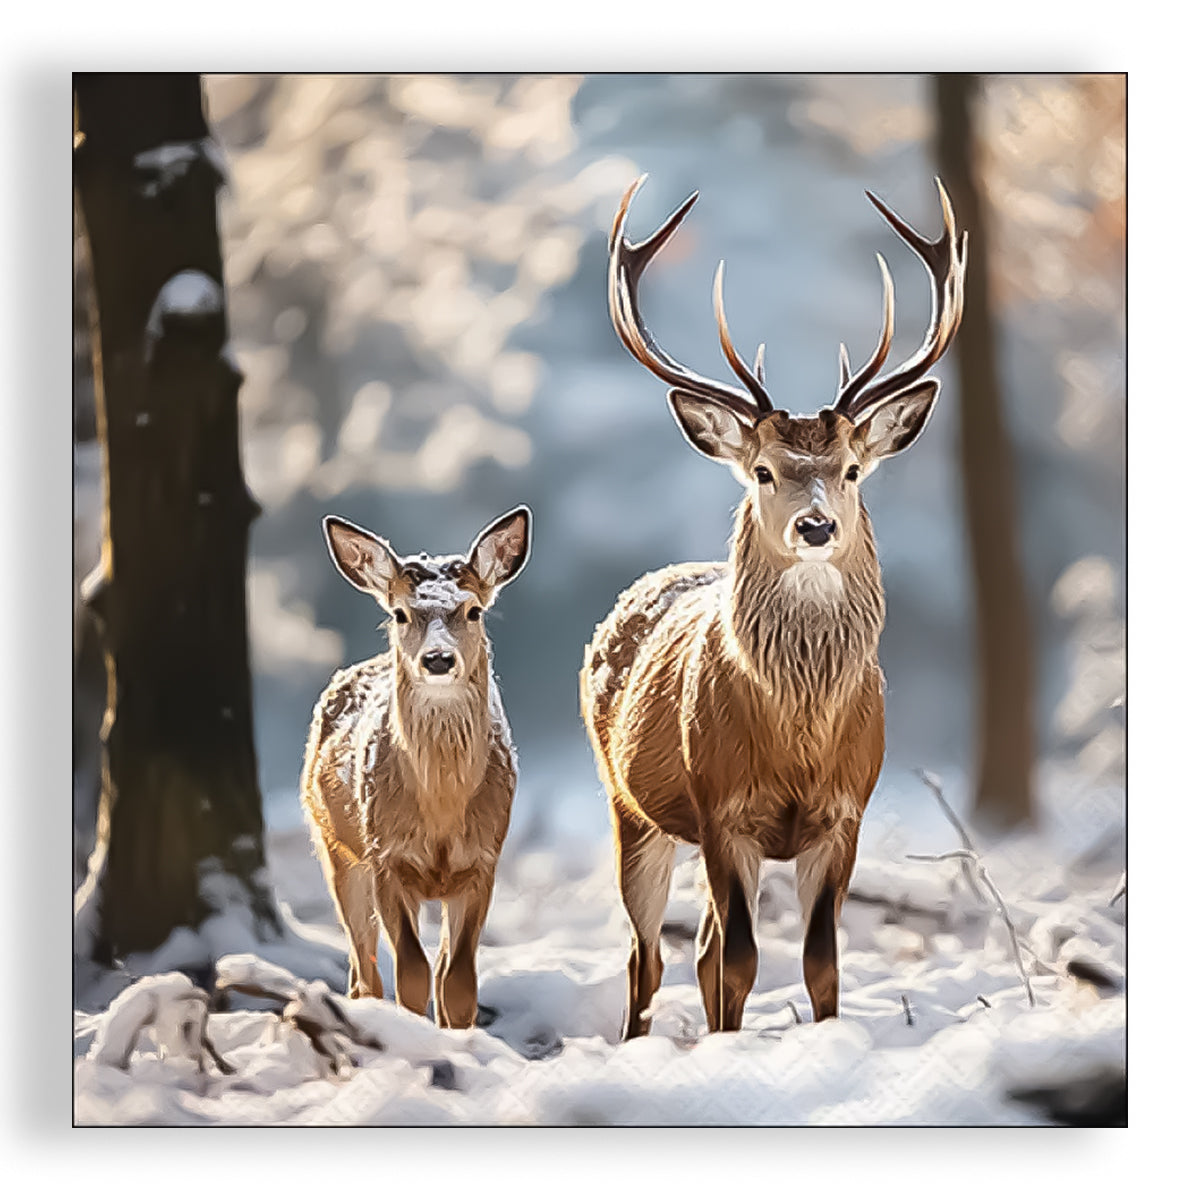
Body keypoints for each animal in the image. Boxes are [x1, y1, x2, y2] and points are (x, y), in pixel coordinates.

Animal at [301, 506, 531, 1028]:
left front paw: (458, 1036)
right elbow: (410, 973)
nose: (439, 659)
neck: (441, 814)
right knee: (363, 970)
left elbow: (458, 981)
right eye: (400, 613)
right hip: (335, 847)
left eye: (473, 610)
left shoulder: (482, 861)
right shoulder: (387, 858)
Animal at [581, 176, 967, 1038]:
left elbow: (820, 962)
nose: (816, 526)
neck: (798, 736)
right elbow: (741, 962)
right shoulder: (721, 808)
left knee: (693, 949)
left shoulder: (846, 812)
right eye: (762, 470)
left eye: (852, 469)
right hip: (631, 806)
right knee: (647, 956)